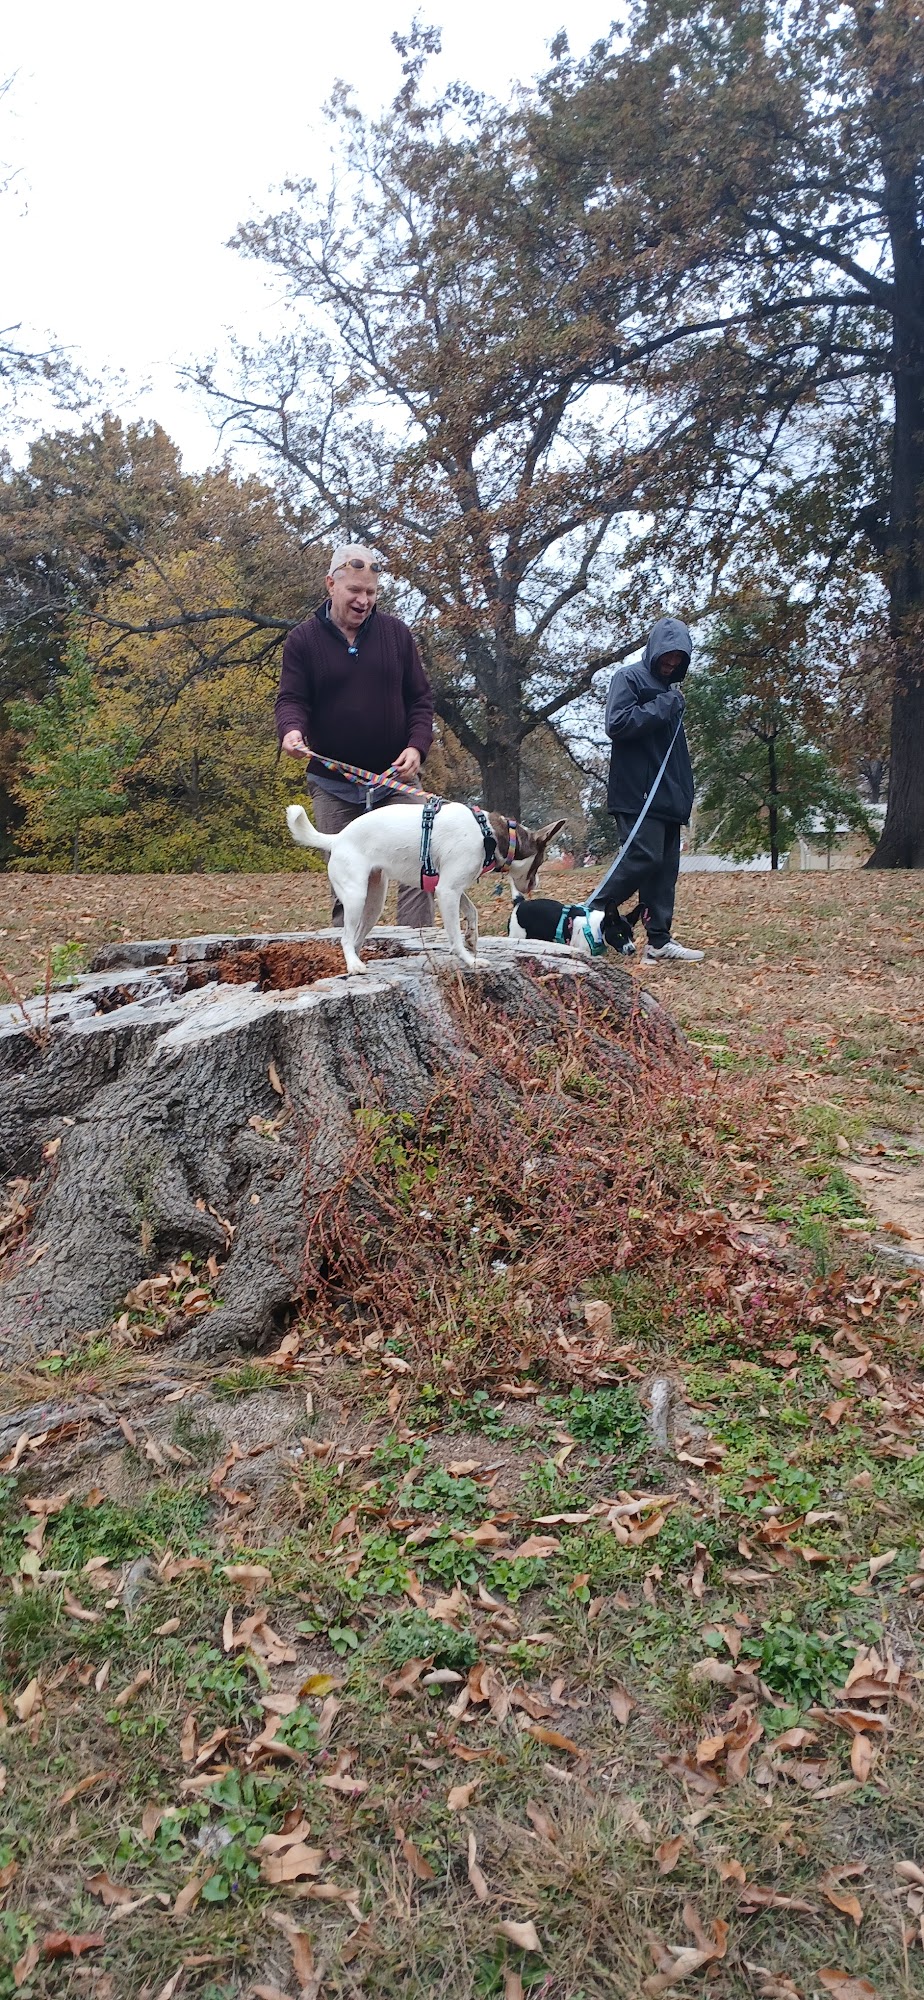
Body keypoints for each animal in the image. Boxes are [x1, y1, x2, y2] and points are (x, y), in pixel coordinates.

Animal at [286, 800, 565, 974]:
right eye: (541, 862)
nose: (536, 884)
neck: (489, 834)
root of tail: (337, 838)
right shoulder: (447, 891)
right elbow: (454, 936)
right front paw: (468, 960)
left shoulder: (449, 888)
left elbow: (472, 912)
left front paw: (472, 939)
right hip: (356, 897)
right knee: (345, 938)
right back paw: (354, 966)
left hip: (374, 902)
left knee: (355, 939)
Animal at [509, 890, 639, 957]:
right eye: (619, 935)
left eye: (632, 936)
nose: (632, 950)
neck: (596, 927)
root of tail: (520, 903)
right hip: (518, 936)